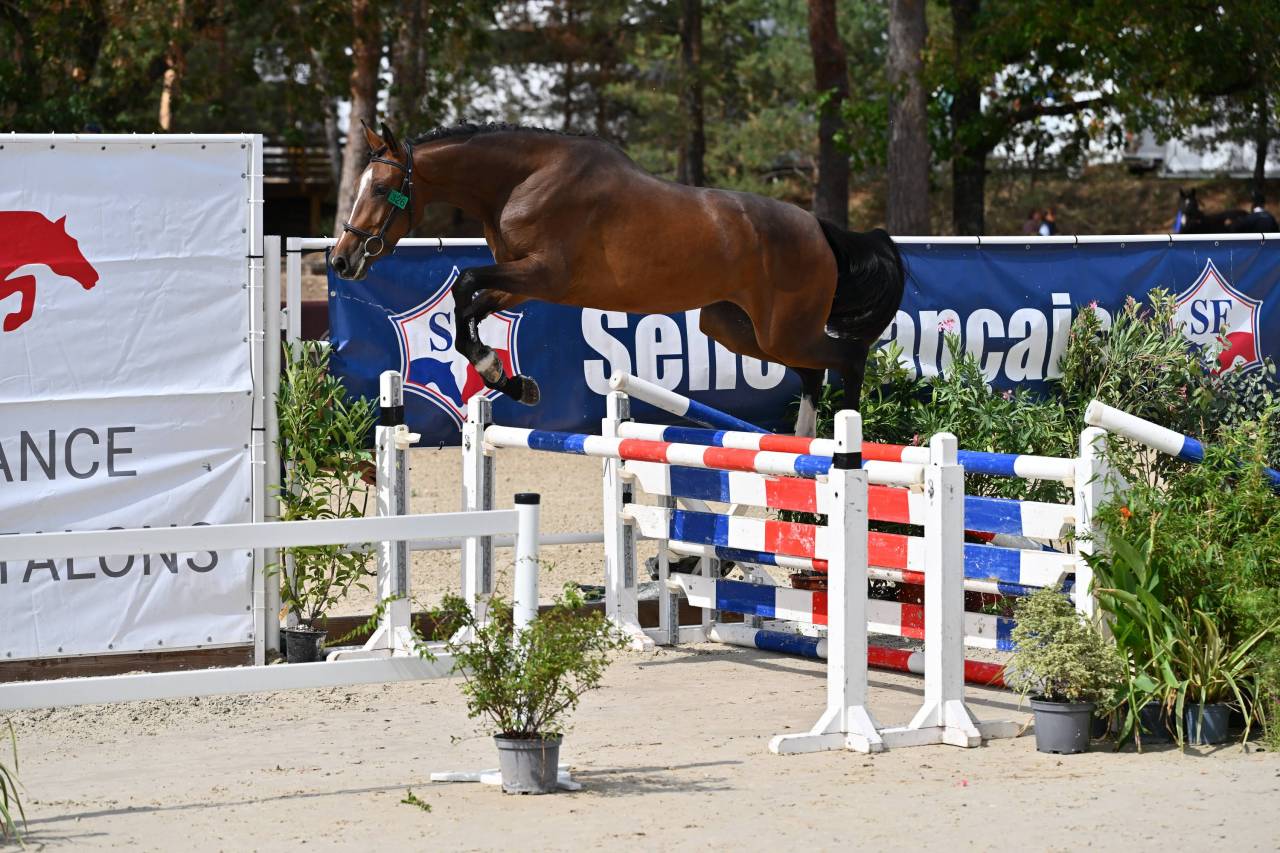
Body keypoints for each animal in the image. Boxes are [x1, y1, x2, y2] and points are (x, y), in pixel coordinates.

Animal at [330, 122, 904, 436]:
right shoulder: (521, 280)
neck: (522, 180)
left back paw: (847, 438)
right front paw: (511, 381)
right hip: (740, 329)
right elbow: (466, 302)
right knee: (811, 370)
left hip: (781, 328)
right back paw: (808, 441)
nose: (341, 261)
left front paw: (500, 373)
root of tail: (820, 227)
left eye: (378, 189)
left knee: (847, 358)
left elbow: (465, 284)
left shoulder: (544, 274)